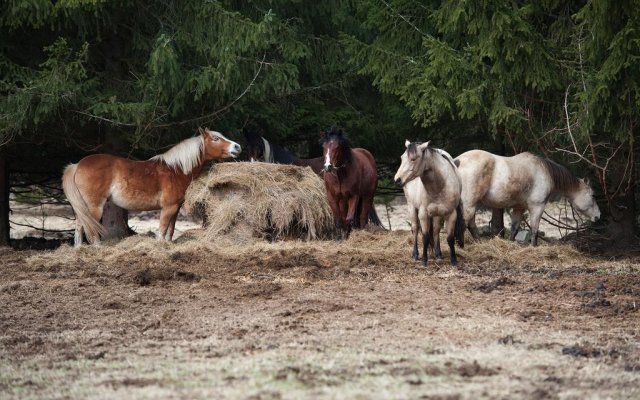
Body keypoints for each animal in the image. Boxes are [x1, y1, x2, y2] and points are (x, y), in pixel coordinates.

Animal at [63, 128, 241, 247]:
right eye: (215, 138)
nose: (237, 147)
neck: (175, 170)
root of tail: (78, 165)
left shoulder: (175, 208)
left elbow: (170, 230)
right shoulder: (168, 208)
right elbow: (162, 229)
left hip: (83, 207)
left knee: (79, 227)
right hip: (94, 207)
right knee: (90, 229)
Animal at [392, 139, 462, 268]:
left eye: (413, 159)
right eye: (402, 158)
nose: (397, 180)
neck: (439, 185)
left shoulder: (451, 214)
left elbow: (449, 238)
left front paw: (454, 260)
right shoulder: (423, 214)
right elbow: (425, 237)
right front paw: (424, 260)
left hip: (437, 214)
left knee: (435, 230)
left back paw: (438, 254)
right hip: (412, 207)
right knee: (415, 229)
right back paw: (415, 254)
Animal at [456, 148, 600, 245]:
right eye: (593, 195)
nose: (598, 216)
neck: (545, 171)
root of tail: (457, 161)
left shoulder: (519, 208)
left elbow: (514, 229)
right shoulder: (537, 207)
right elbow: (535, 229)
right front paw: (533, 246)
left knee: (469, 224)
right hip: (470, 204)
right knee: (465, 224)